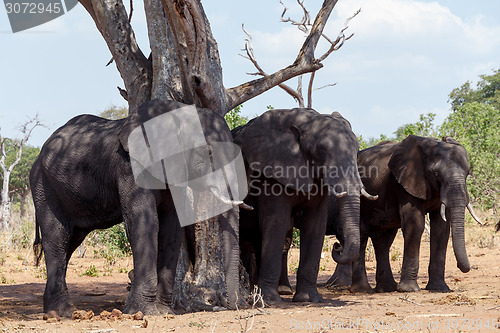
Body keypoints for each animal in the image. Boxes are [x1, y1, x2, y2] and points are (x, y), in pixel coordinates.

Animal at [29, 98, 248, 316]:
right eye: (208, 152)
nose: (229, 305)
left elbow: (172, 228)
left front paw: (164, 312)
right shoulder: (130, 167)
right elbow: (144, 223)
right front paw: (141, 311)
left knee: (72, 240)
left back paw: (54, 310)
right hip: (44, 185)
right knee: (57, 237)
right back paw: (63, 313)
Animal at [232, 107, 370, 302]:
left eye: (357, 150)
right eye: (321, 151)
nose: (337, 246)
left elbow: (315, 225)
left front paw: (309, 299)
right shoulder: (273, 170)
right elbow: (277, 222)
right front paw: (270, 300)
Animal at [334, 134, 482, 292]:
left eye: (467, 173)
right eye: (436, 174)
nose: (462, 267)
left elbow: (441, 229)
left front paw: (439, 288)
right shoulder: (404, 183)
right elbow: (415, 224)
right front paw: (409, 289)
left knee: (383, 240)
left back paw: (386, 289)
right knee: (362, 235)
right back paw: (363, 290)